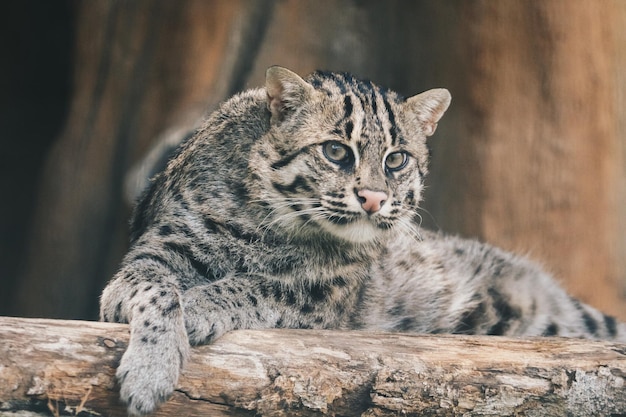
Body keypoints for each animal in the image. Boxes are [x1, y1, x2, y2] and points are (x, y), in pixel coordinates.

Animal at [100, 66, 620, 412]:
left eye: (397, 160)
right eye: (335, 151)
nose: (372, 198)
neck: (270, 223)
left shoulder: (325, 296)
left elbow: (260, 284)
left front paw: (197, 310)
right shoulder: (156, 251)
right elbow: (158, 291)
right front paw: (151, 370)